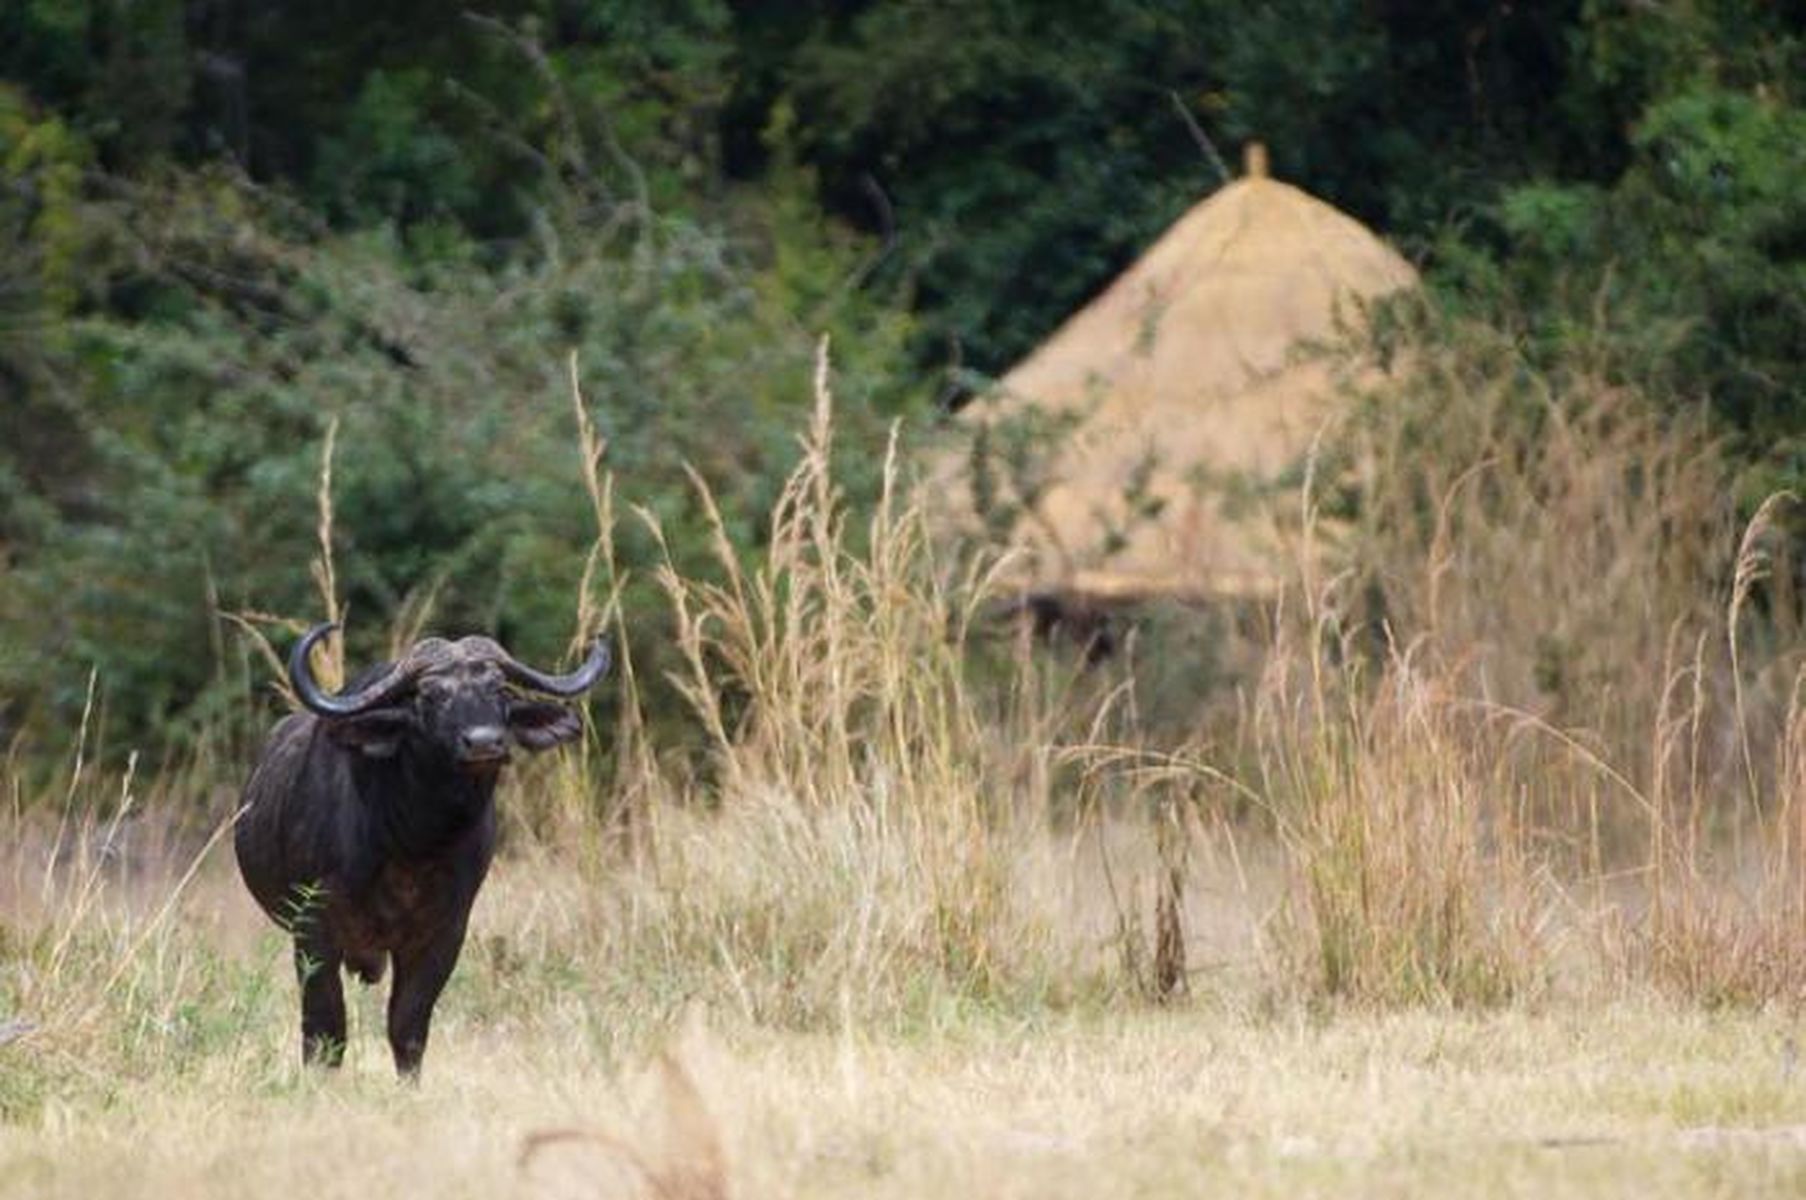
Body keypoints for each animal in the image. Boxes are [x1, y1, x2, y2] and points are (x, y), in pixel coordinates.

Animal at [234, 621, 606, 1069]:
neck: (411, 843)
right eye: (430, 695)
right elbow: (325, 1030)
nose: (484, 743)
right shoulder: (313, 929)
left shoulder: (444, 933)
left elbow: (407, 1026)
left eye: (499, 689)